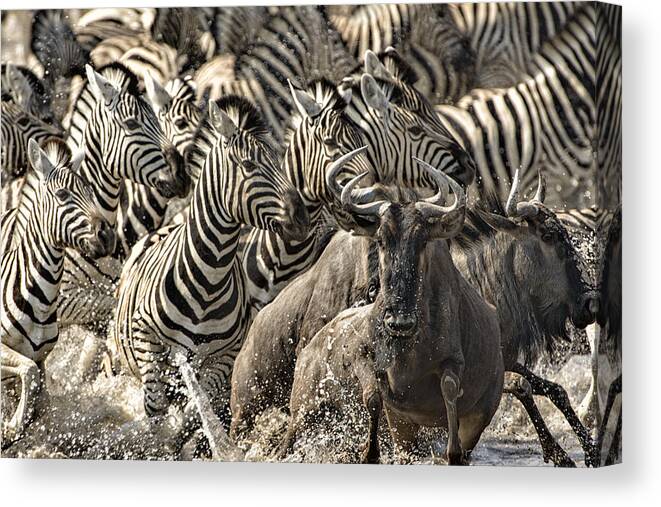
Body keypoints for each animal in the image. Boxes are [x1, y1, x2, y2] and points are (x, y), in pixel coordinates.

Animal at [0, 138, 114, 444]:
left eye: (90, 192)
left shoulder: (41, 359)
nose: (108, 236)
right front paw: (13, 426)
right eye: (62, 194)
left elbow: (40, 391)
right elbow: (28, 374)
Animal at [111, 97, 310, 418]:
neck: (208, 279)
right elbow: (155, 406)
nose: (302, 218)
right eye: (249, 165)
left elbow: (198, 408)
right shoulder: (146, 337)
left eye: (280, 162)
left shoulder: (226, 356)